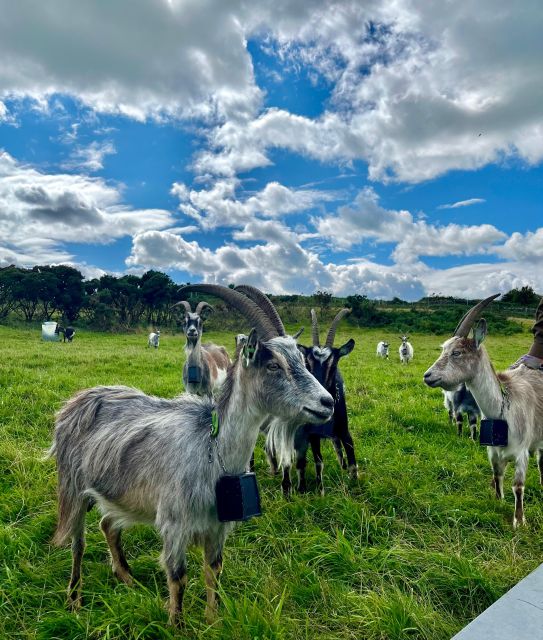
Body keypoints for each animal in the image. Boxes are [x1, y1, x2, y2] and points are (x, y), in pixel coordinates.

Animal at [49, 284, 336, 624]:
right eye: (273, 365)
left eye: (302, 360)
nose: (328, 402)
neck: (212, 451)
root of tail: (75, 402)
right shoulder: (175, 524)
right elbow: (178, 577)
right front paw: (177, 624)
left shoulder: (217, 526)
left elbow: (214, 571)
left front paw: (213, 620)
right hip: (73, 487)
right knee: (77, 544)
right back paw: (74, 600)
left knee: (108, 525)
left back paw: (127, 578)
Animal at [424, 294, 543, 524]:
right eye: (443, 349)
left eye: (457, 352)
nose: (427, 376)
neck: (503, 409)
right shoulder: (493, 452)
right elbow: (497, 476)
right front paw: (497, 502)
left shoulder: (521, 452)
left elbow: (518, 486)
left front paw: (519, 521)